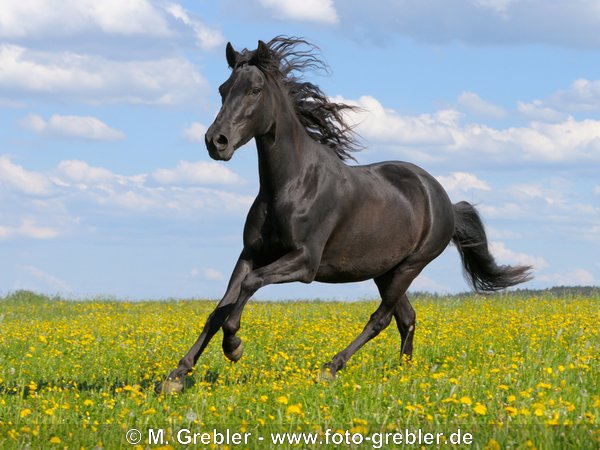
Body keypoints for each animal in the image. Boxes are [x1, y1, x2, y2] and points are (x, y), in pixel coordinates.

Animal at [158, 37, 528, 392]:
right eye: (223, 89)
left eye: (254, 90)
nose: (216, 141)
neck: (291, 185)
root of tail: (445, 202)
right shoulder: (250, 254)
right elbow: (219, 309)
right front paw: (176, 375)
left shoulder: (304, 262)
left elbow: (249, 287)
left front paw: (234, 346)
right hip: (386, 270)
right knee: (406, 318)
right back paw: (404, 374)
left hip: (411, 265)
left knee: (381, 318)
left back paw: (331, 367)